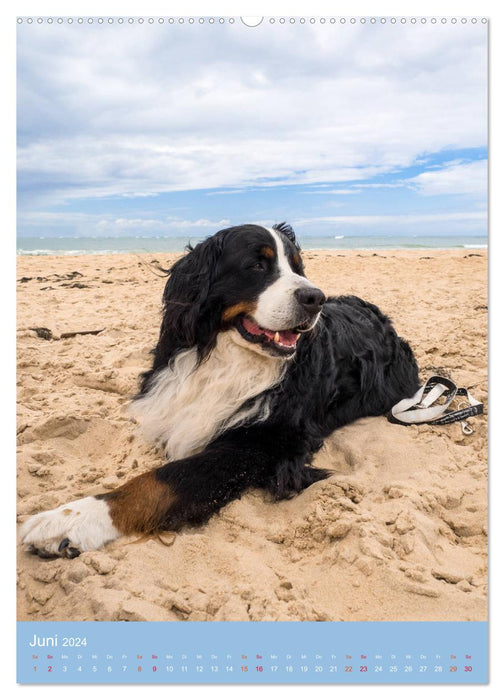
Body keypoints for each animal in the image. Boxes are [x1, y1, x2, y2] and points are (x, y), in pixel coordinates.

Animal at [19, 223, 420, 556]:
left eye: (298, 268)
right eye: (257, 265)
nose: (315, 298)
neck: (225, 358)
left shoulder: (265, 443)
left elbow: (164, 480)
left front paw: (73, 517)